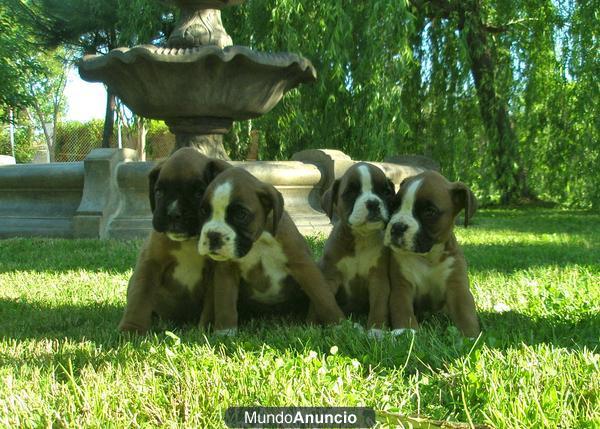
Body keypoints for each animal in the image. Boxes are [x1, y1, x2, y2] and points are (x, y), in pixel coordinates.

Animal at [117, 149, 230, 332]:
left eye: (199, 193)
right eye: (159, 192)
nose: (173, 213)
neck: (189, 241)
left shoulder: (215, 271)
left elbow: (212, 304)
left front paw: (205, 329)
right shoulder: (149, 266)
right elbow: (139, 298)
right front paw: (131, 328)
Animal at [197, 166, 346, 332]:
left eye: (241, 214)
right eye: (203, 211)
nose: (213, 235)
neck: (258, 240)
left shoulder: (303, 266)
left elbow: (323, 296)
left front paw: (340, 324)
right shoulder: (226, 270)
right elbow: (225, 303)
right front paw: (225, 332)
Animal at [318, 162, 398, 336]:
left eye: (386, 192)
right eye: (351, 192)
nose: (373, 203)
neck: (361, 238)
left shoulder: (378, 280)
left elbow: (379, 305)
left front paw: (376, 329)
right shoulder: (330, 277)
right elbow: (326, 301)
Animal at [384, 169, 482, 336]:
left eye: (429, 212)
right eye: (393, 205)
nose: (397, 227)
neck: (428, 257)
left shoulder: (457, 287)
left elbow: (465, 312)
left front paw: (470, 336)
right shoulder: (401, 287)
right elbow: (402, 309)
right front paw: (406, 330)